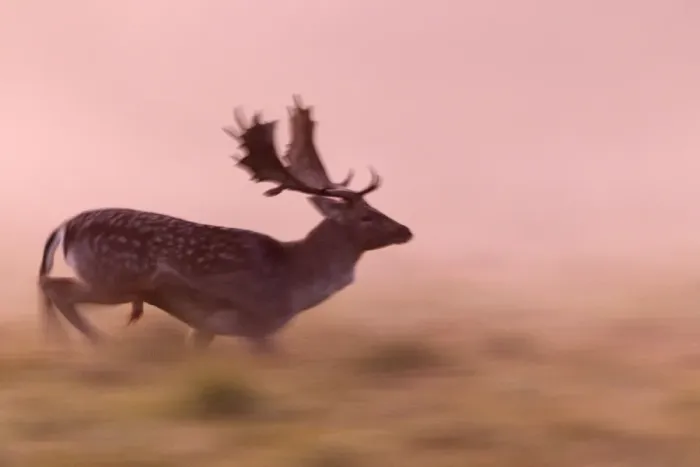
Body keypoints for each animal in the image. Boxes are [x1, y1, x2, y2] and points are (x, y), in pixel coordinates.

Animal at [37, 95, 413, 352]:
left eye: (374, 207)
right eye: (366, 216)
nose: (406, 230)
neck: (296, 281)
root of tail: (64, 226)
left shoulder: (207, 327)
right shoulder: (254, 322)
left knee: (52, 285)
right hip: (112, 279)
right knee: (54, 286)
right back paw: (90, 342)